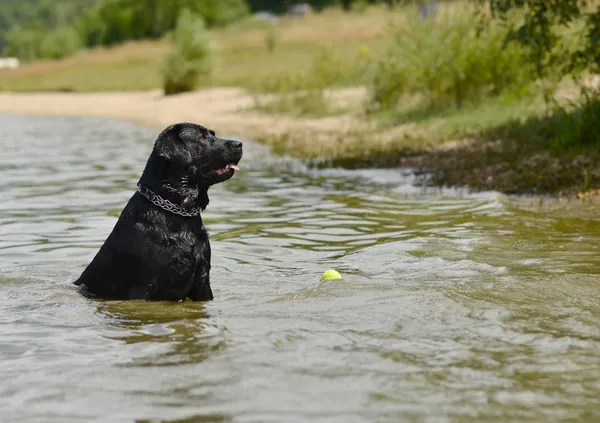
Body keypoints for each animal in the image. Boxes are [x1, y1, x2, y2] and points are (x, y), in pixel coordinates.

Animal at [74, 121, 243, 302]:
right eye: (202, 137)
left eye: (213, 134)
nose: (239, 144)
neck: (179, 213)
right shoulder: (142, 287)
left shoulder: (203, 280)